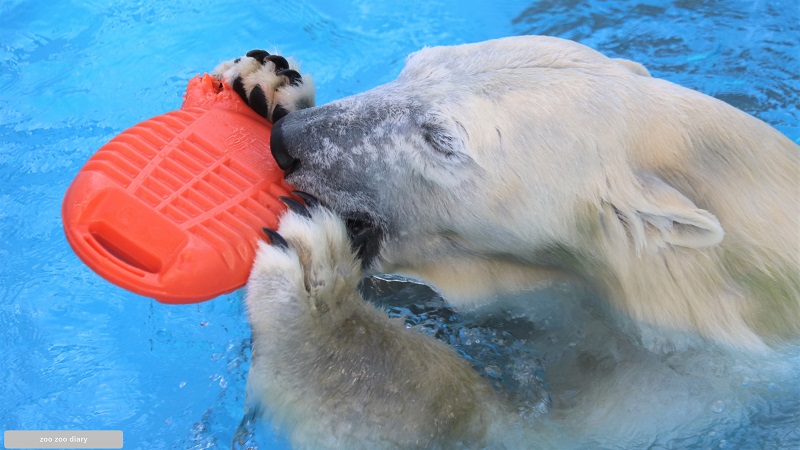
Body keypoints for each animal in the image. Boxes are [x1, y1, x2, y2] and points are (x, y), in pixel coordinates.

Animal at [213, 36, 800, 448]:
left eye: (440, 139)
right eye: (412, 68)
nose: (287, 143)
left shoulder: (699, 391)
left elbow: (500, 430)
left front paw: (319, 299)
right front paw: (268, 83)